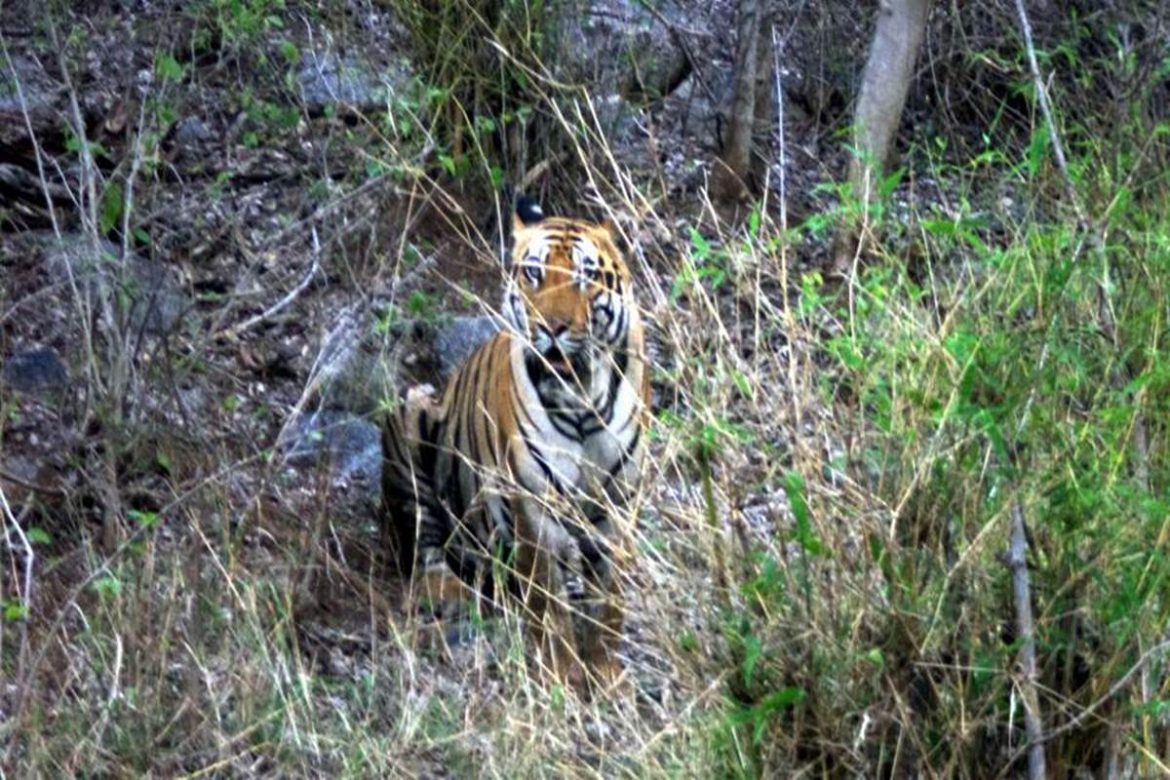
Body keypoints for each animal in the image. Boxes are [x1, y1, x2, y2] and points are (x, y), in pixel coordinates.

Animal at [380, 195, 650, 689]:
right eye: (534, 274)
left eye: (585, 277)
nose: (552, 326)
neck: (580, 394)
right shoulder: (533, 501)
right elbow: (548, 599)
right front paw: (562, 672)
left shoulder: (620, 501)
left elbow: (610, 596)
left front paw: (605, 671)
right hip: (413, 413)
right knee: (425, 545)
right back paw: (448, 592)